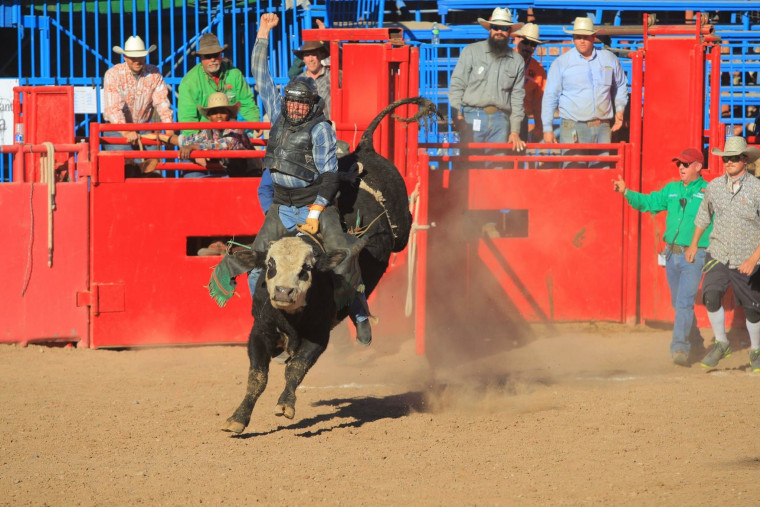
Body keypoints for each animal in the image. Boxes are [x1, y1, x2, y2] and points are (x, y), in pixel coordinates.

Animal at [217, 98, 436, 432]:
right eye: (269, 265)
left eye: (307, 269)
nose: (283, 292)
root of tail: (365, 148)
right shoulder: (259, 332)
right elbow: (257, 377)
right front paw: (238, 418)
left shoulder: (319, 337)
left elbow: (295, 369)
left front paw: (286, 405)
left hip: (400, 228)